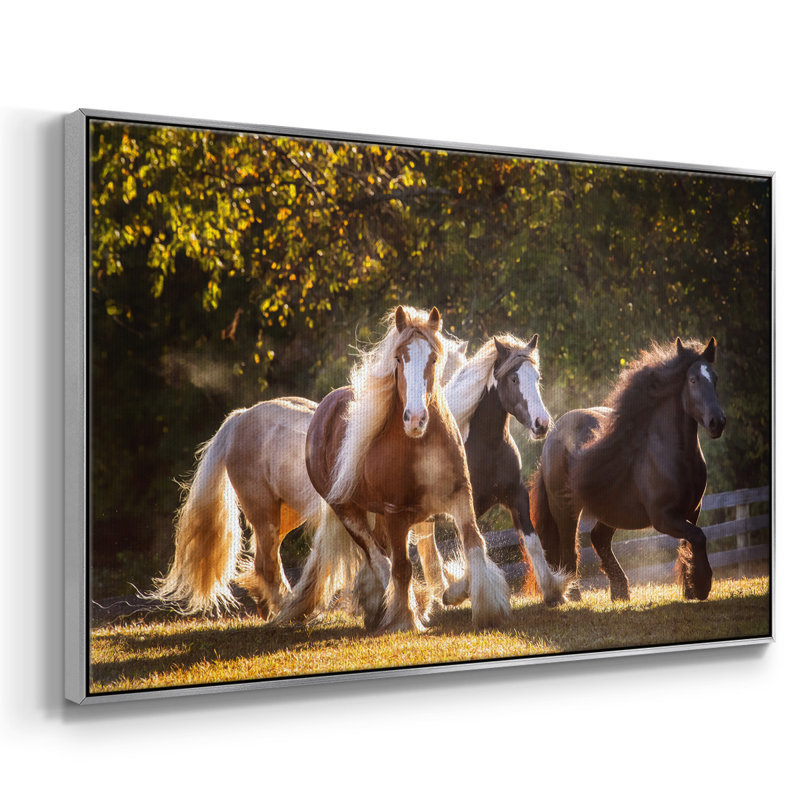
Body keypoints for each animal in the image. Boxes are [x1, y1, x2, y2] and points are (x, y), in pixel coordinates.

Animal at [148, 336, 467, 619]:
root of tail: (239, 417)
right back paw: (286, 610)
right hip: (263, 513)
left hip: (286, 515)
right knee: (268, 564)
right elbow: (390, 558)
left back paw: (273, 609)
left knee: (263, 562)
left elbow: (422, 555)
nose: (418, 420)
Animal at [277, 305, 511, 632]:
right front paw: (405, 619)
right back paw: (392, 608)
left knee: (379, 556)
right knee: (378, 559)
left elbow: (475, 544)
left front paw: (490, 609)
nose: (415, 419)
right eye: (399, 358)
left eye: (433, 358)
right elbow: (402, 567)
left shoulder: (460, 496)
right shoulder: (396, 514)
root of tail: (324, 409)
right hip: (348, 512)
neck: (421, 446)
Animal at [430, 333, 569, 608]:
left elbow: (532, 542)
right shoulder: (464, 507)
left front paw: (553, 591)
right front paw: (458, 591)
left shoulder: (516, 495)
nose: (541, 424)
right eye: (514, 378)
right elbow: (474, 546)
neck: (487, 448)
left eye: (536, 377)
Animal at [528, 337, 725, 602]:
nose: (717, 422)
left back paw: (620, 591)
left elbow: (690, 543)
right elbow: (698, 537)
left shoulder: (693, 510)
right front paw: (702, 586)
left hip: (611, 509)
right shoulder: (663, 517)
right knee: (569, 549)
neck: (673, 457)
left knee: (598, 539)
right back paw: (573, 595)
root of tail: (552, 436)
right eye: (693, 380)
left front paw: (691, 589)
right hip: (565, 508)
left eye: (715, 378)